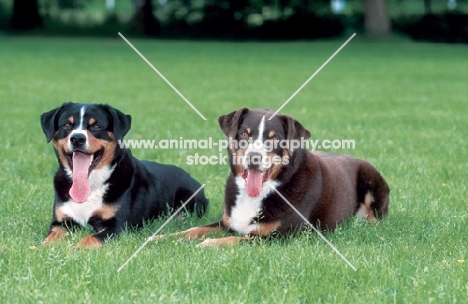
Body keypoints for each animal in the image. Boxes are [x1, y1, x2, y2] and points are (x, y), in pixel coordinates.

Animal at [40, 101, 208, 248]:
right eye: (66, 125)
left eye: (96, 126)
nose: (77, 138)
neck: (91, 184)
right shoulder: (61, 222)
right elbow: (50, 238)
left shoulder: (116, 225)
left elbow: (90, 238)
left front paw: (77, 247)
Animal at [163, 108, 390, 246]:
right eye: (244, 134)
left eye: (274, 139)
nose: (254, 157)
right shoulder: (228, 222)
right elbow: (194, 229)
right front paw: (163, 237)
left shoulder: (280, 235)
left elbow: (238, 239)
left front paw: (210, 244)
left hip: (371, 178)